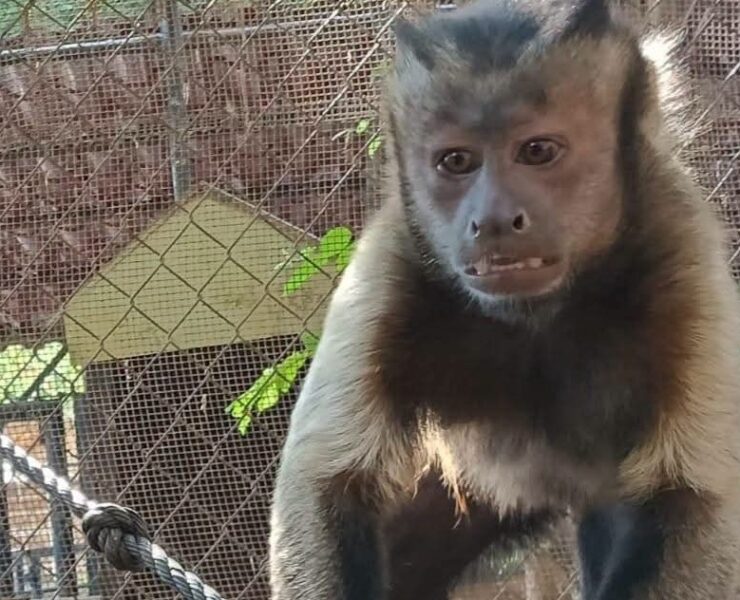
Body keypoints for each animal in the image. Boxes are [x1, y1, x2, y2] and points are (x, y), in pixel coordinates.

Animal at [268, 0, 740, 598]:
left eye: (537, 152)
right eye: (456, 162)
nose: (492, 219)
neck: (536, 316)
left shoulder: (679, 244)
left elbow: (688, 496)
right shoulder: (392, 262)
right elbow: (327, 481)